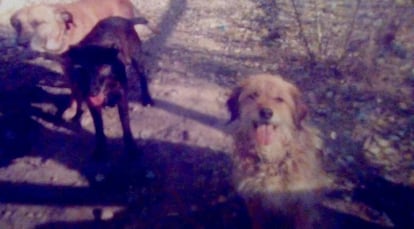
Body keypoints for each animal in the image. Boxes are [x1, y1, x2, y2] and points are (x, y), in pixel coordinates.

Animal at [226, 74, 330, 229]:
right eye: (253, 95)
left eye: (279, 99)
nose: (266, 112)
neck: (271, 157)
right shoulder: (254, 200)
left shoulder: (302, 203)